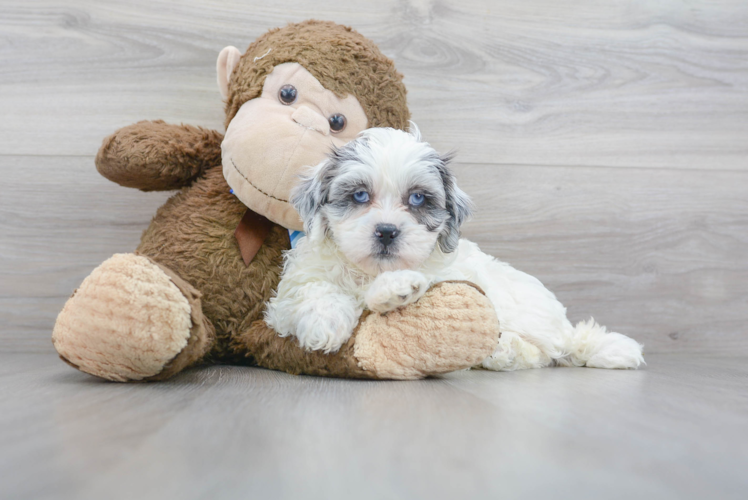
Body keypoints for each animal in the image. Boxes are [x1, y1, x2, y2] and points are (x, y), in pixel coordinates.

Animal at [264, 127, 644, 370]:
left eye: (417, 199)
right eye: (359, 195)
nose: (386, 231)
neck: (368, 272)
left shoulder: (447, 279)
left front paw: (394, 289)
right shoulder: (287, 297)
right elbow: (313, 291)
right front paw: (325, 322)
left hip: (526, 313)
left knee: (560, 345)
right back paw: (504, 352)